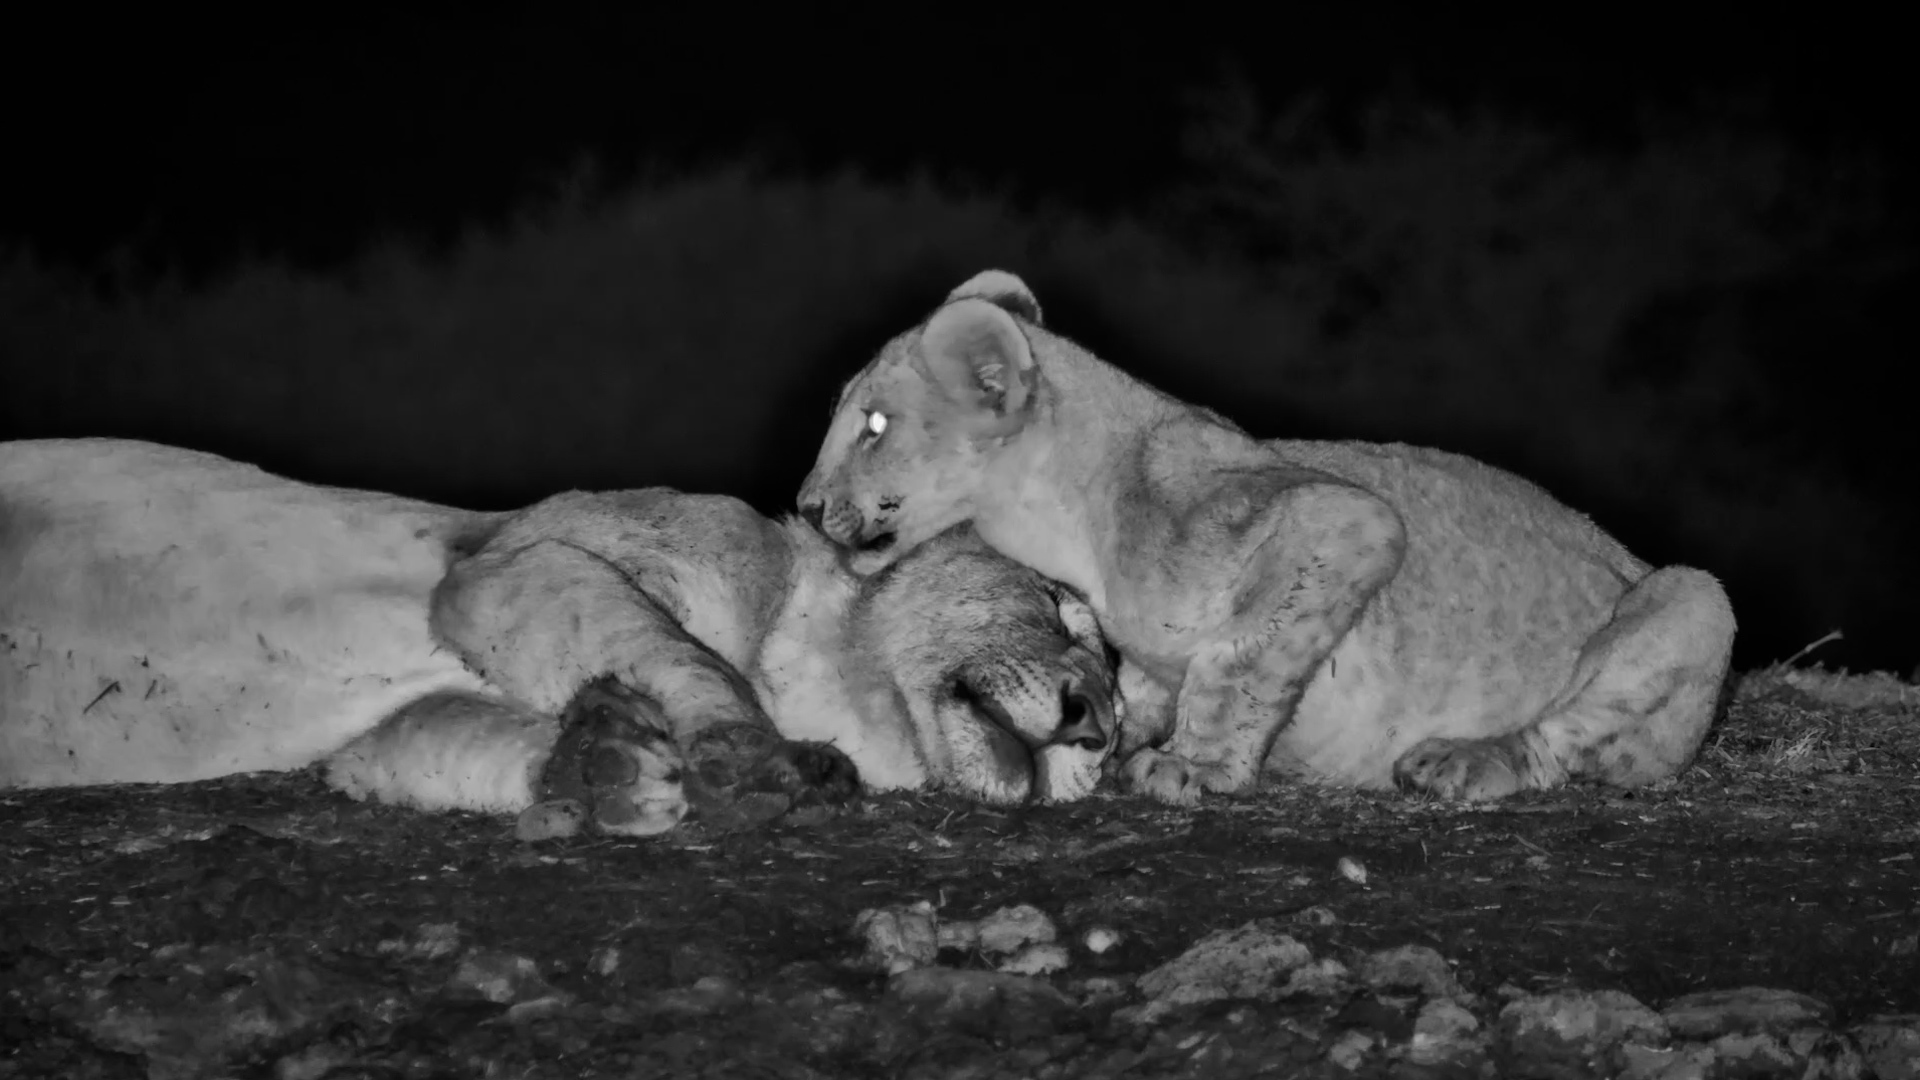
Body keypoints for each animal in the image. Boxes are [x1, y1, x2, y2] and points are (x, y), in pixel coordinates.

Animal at [0, 438, 1117, 835]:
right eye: (1061, 607)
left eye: (1125, 695)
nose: (1095, 726)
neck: (814, 675)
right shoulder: (510, 565)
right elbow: (681, 653)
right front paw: (756, 762)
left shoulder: (380, 733)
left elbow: (443, 746)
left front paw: (609, 768)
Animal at [797, 270, 1737, 805]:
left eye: (873, 425)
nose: (805, 506)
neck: (1068, 521)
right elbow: (1140, 684)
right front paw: (1124, 733)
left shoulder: (1346, 520)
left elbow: (1242, 654)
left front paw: (1195, 768)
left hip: (1693, 595)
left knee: (1571, 743)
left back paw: (1466, 762)